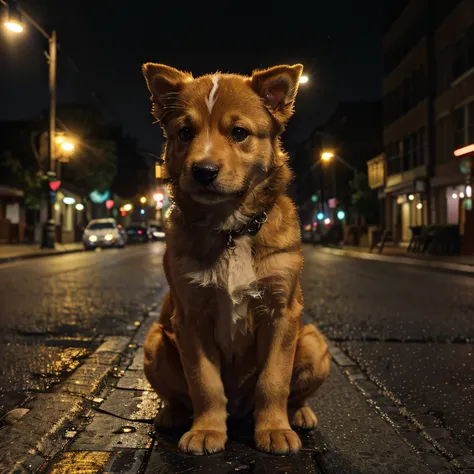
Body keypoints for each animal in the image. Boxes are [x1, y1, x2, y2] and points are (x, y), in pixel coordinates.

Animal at [141, 63, 330, 456]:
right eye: (185, 132)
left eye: (239, 133)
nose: (203, 171)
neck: (231, 228)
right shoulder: (190, 317)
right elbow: (204, 382)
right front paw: (206, 430)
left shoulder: (281, 313)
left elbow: (274, 380)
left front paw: (274, 429)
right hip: (154, 341)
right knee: (177, 395)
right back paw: (172, 414)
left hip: (314, 341)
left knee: (293, 393)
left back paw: (298, 414)